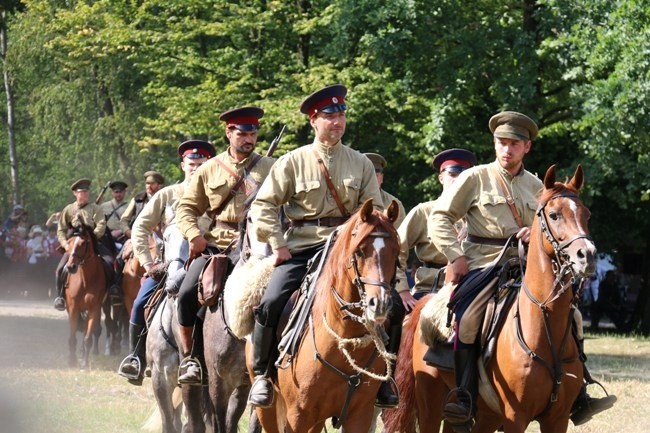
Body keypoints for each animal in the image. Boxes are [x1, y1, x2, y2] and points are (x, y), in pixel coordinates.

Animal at [64, 223, 106, 368]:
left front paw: (85, 364)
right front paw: (71, 361)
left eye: (83, 243)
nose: (70, 267)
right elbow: (72, 336)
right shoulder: (73, 308)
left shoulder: (94, 309)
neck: (86, 280)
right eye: (69, 243)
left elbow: (87, 338)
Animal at [248, 199, 400, 432]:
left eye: (395, 252)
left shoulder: (360, 416)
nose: (380, 304)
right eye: (360, 251)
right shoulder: (298, 416)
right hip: (269, 411)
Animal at [382, 165, 596, 432]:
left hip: (481, 415)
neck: (543, 326)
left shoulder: (557, 418)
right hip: (430, 401)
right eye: (554, 215)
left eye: (587, 215)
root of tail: (425, 304)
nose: (587, 255)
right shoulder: (515, 417)